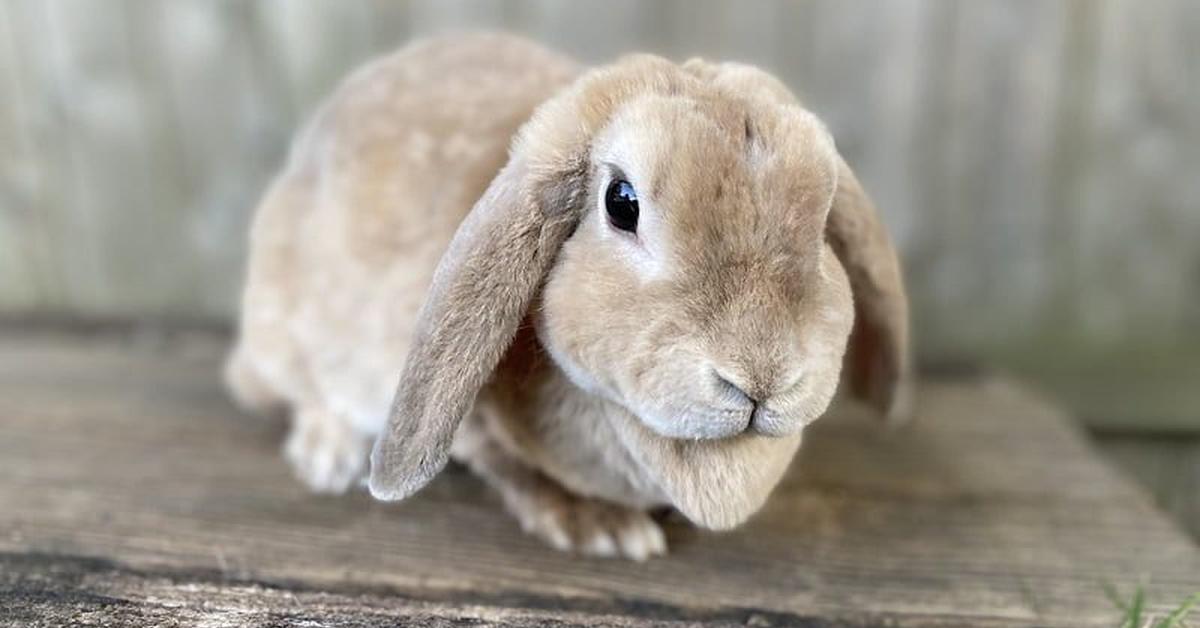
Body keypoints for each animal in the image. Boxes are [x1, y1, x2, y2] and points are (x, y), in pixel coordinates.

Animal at [225, 31, 907, 561]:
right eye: (621, 203)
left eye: (823, 221)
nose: (763, 377)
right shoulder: (470, 422)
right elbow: (509, 465)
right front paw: (599, 526)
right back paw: (328, 455)